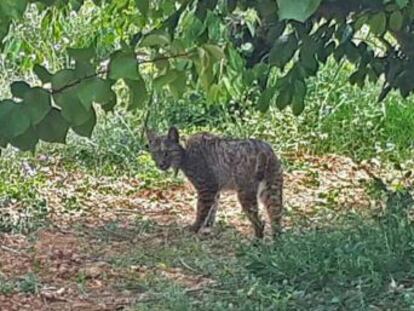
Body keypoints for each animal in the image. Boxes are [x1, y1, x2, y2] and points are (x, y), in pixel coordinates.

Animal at [146, 127, 284, 239]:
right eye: (155, 153)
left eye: (166, 152)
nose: (160, 164)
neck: (184, 153)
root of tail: (264, 148)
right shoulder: (215, 189)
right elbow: (212, 209)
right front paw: (207, 227)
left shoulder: (207, 187)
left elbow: (201, 209)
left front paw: (194, 228)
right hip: (272, 187)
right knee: (276, 218)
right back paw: (277, 243)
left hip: (245, 190)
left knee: (260, 222)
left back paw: (256, 243)